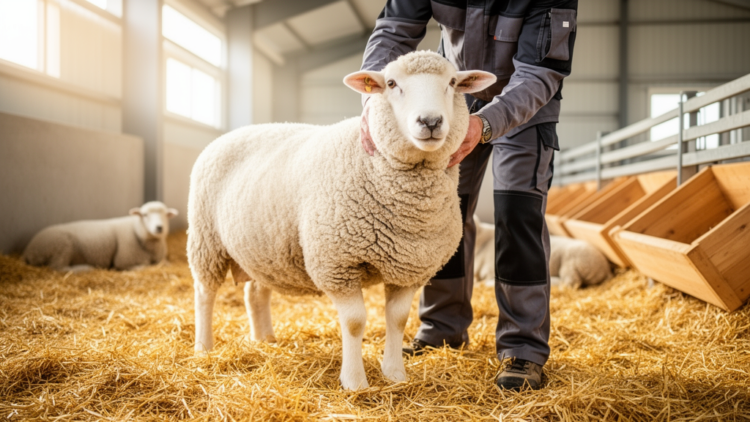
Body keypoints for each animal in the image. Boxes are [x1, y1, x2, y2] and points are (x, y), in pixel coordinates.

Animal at [23, 201, 178, 272]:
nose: (159, 227)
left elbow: (165, 263)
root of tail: (28, 251)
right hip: (61, 247)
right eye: (144, 215)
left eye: (166, 215)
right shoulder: (123, 261)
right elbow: (143, 265)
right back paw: (84, 268)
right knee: (59, 267)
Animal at [187, 51, 496, 391]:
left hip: (262, 248)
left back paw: (265, 339)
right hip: (206, 241)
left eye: (452, 82)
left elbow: (397, 319)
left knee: (255, 292)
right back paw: (204, 348)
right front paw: (355, 381)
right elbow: (355, 322)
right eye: (391, 83)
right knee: (204, 293)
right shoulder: (337, 263)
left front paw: (395, 375)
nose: (430, 121)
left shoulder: (409, 268)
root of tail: (231, 134)